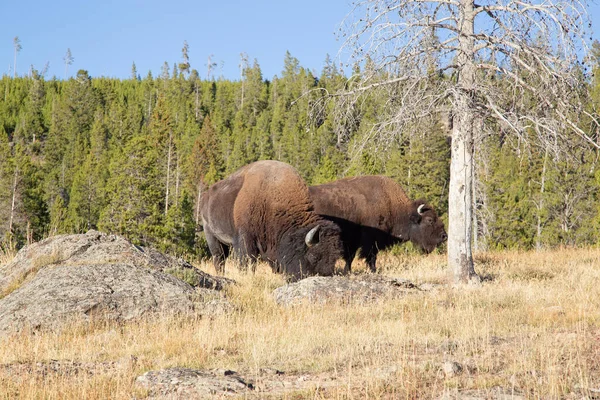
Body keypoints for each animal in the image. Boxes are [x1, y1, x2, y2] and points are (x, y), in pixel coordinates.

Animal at [200, 160, 342, 282]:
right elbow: (247, 262)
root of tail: (206, 196)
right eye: (314, 256)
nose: (324, 276)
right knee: (219, 258)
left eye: (334, 258)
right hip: (212, 236)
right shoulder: (245, 240)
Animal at [310, 175, 446, 272]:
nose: (444, 236)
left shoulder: (354, 240)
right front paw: (373, 270)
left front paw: (347, 271)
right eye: (429, 220)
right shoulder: (370, 240)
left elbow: (351, 256)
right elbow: (370, 256)